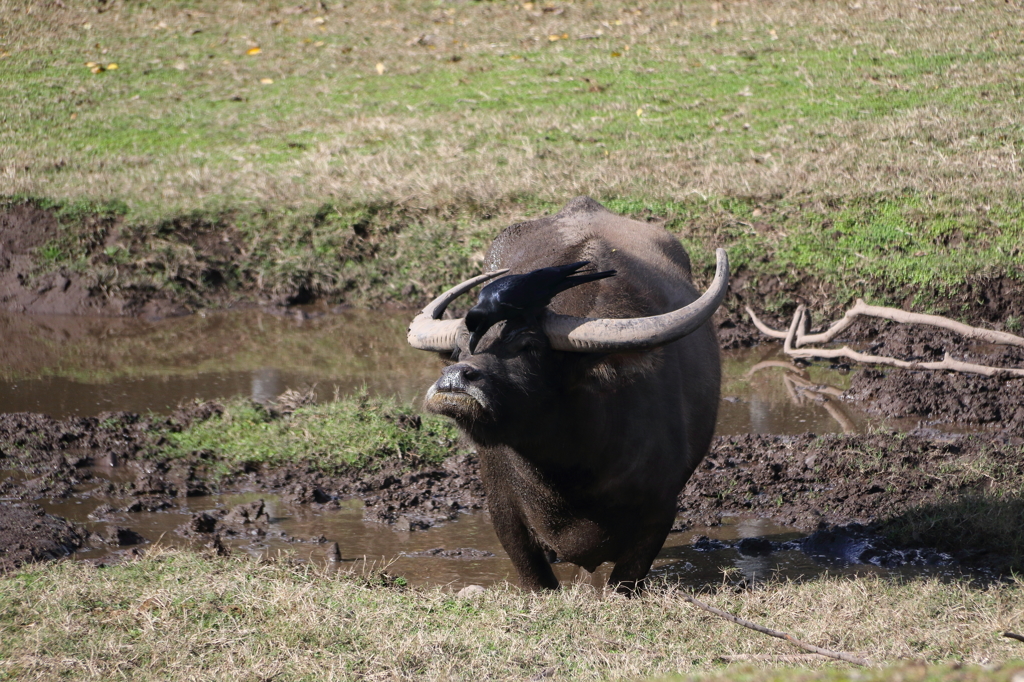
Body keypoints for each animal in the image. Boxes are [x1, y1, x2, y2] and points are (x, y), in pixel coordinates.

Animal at [407, 195, 729, 589]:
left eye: (529, 346)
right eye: (457, 350)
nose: (455, 377)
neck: (572, 469)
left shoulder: (660, 510)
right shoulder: (504, 512)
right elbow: (534, 574)